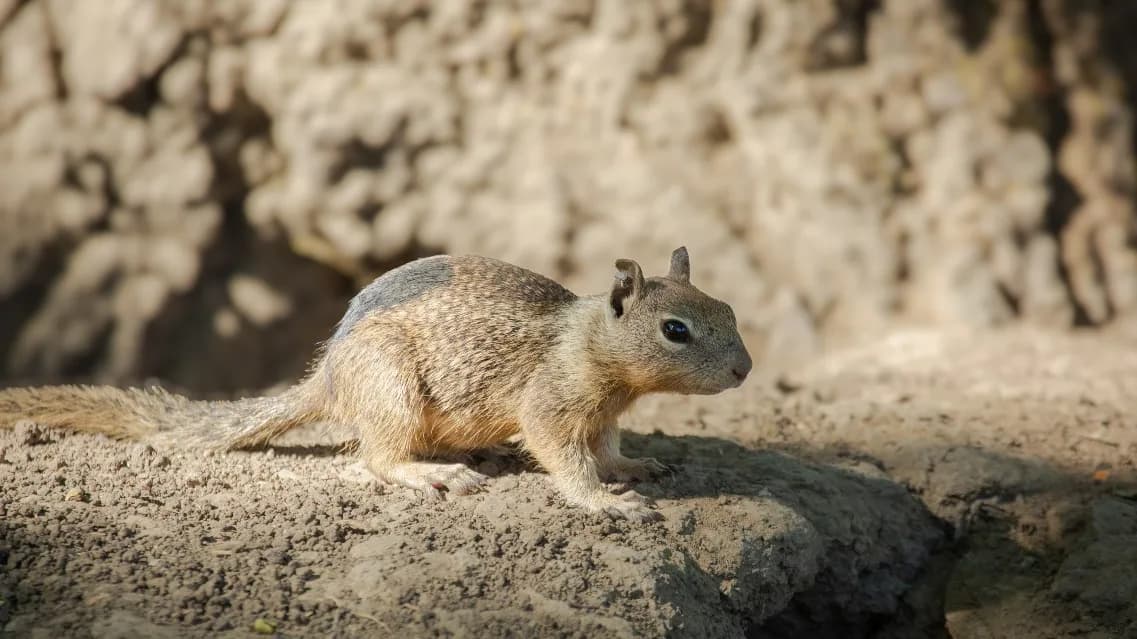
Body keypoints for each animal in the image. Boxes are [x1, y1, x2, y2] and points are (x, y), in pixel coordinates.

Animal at [0, 247, 751, 522]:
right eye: (676, 330)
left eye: (731, 311)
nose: (745, 370)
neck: (589, 339)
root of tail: (329, 374)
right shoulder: (551, 403)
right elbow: (565, 457)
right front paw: (605, 501)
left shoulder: (606, 412)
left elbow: (609, 445)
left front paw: (636, 464)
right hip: (392, 391)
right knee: (376, 459)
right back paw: (433, 473)